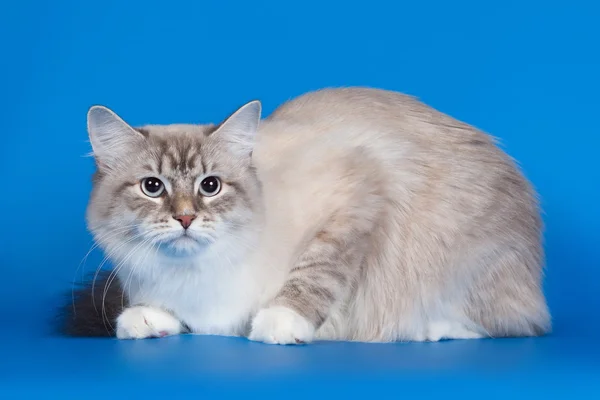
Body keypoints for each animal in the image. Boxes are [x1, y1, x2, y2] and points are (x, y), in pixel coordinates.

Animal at [58, 87, 552, 344]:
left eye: (210, 186)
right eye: (153, 187)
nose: (184, 219)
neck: (196, 275)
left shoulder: (359, 195)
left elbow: (316, 273)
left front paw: (279, 324)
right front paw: (146, 318)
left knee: (512, 324)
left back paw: (429, 329)